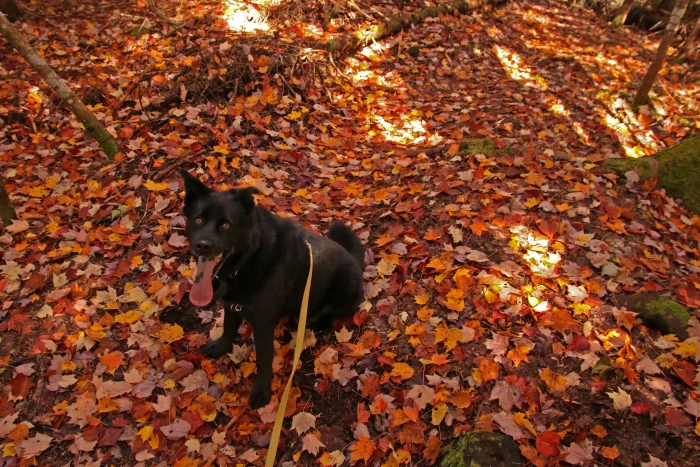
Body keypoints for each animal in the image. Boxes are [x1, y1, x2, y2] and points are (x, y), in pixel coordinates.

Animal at [179, 170, 366, 408]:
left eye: (226, 225)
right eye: (198, 220)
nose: (202, 245)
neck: (249, 259)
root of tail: (354, 260)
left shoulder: (262, 324)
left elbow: (264, 360)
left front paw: (262, 392)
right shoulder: (232, 305)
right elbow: (228, 329)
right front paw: (221, 347)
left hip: (344, 286)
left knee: (334, 314)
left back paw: (320, 325)